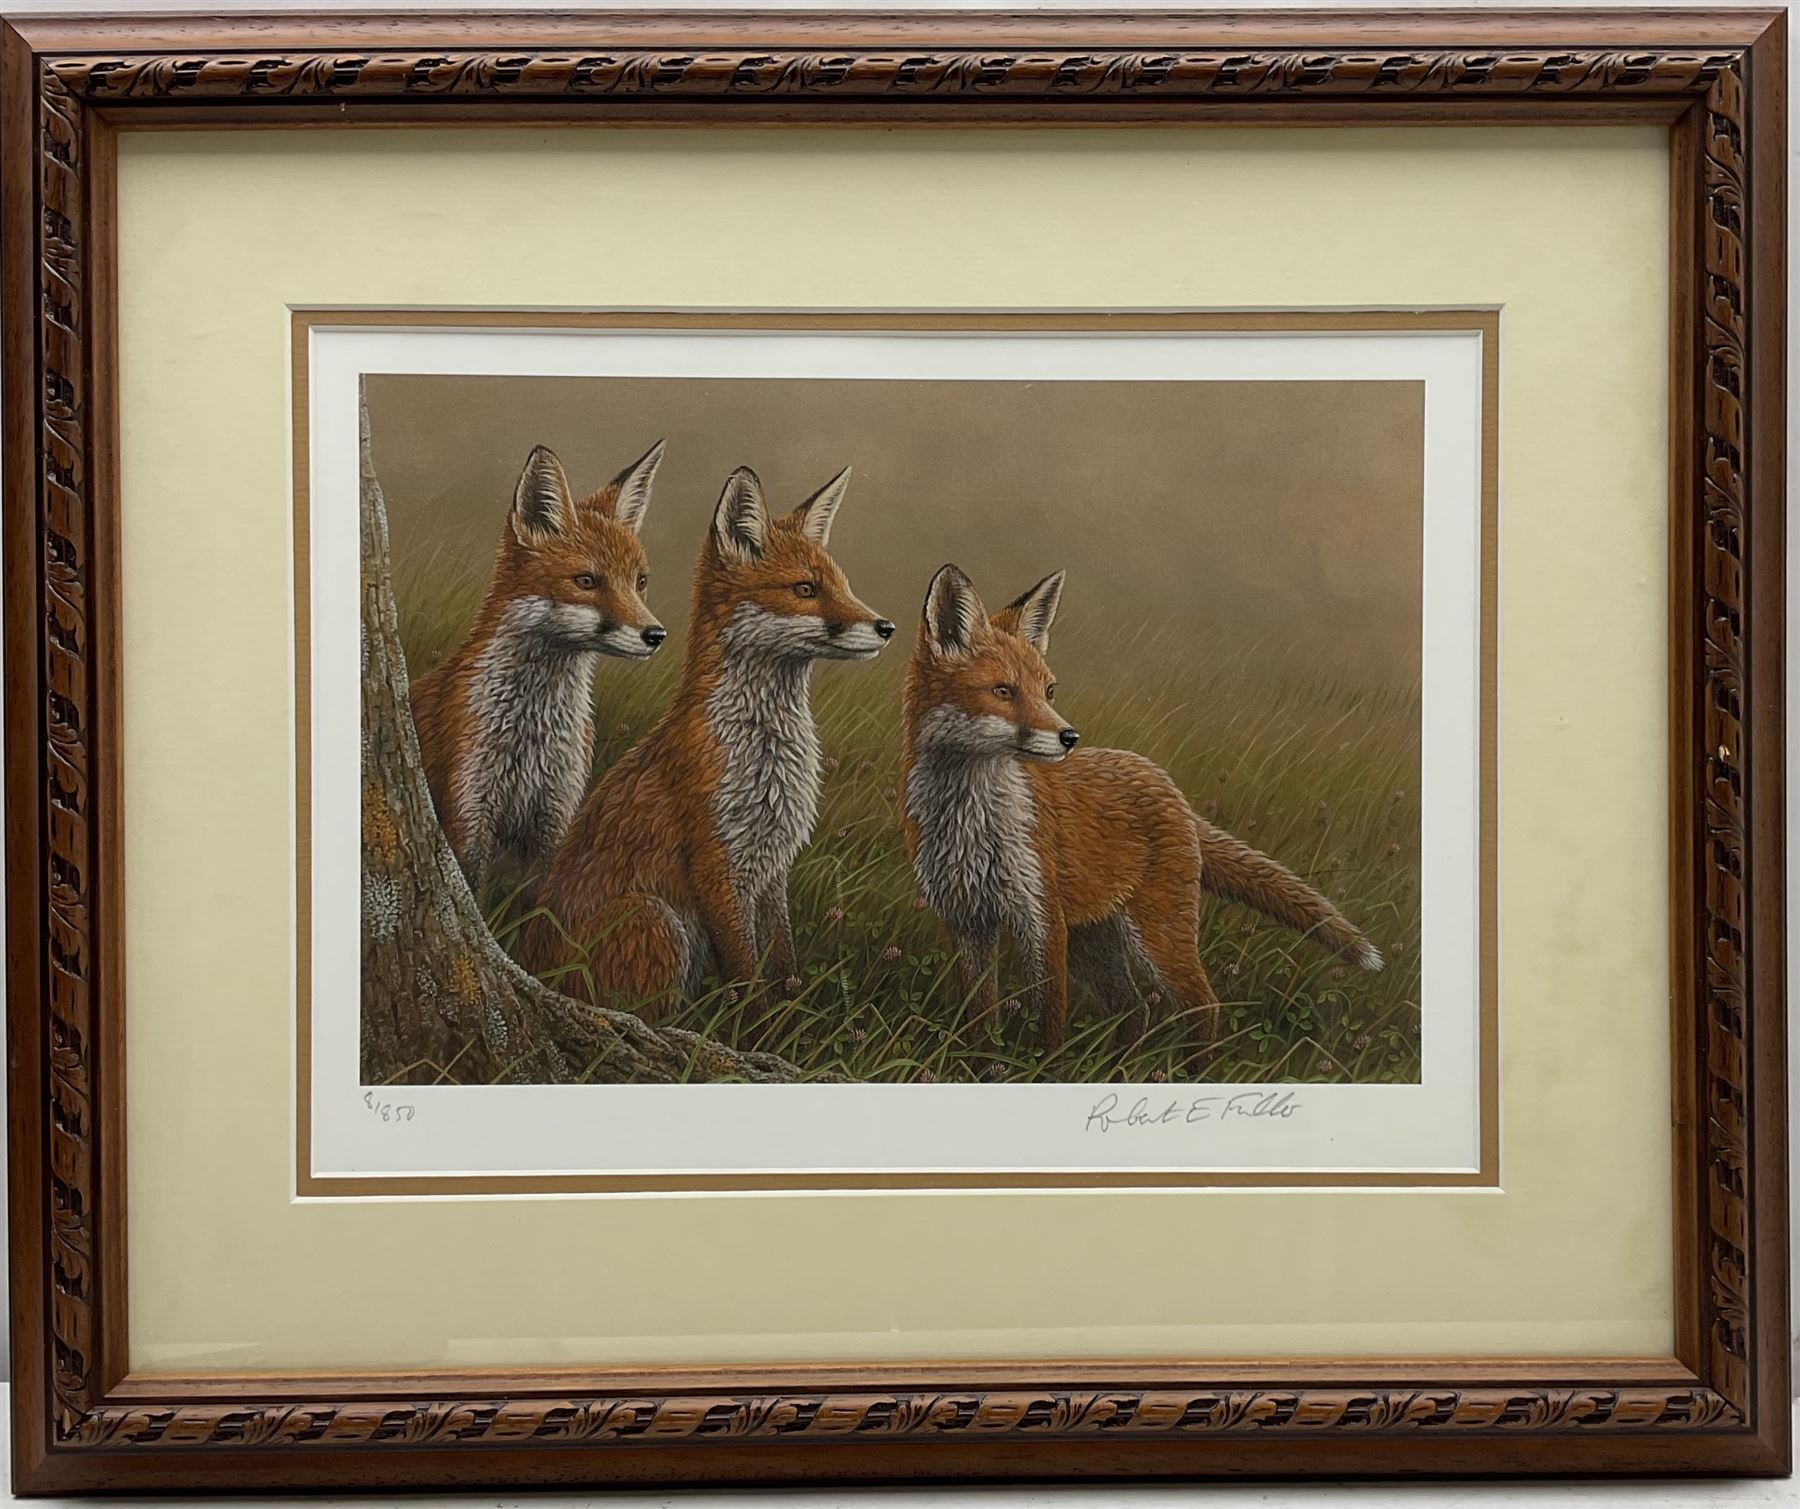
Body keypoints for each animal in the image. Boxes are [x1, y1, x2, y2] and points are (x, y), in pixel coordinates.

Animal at [409, 439, 667, 889]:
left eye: (640, 581)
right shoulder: (469, 812)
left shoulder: (555, 816)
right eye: (586, 581)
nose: (655, 635)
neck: (532, 736)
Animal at [525, 464, 895, 1012]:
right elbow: (746, 979)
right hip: (654, 919)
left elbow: (784, 968)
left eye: (843, 586)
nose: (886, 626)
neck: (765, 753)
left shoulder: (772, 867)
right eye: (805, 589)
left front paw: (787, 1024)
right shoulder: (715, 863)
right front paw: (757, 1032)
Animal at [900, 564, 1383, 1052]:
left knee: (1203, 1005)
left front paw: (1044, 1066)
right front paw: (982, 1063)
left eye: (1048, 691)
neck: (970, 821)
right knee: (1136, 1009)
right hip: (1093, 941)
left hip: (1155, 934)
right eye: (1002, 690)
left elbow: (1050, 1024)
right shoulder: (967, 921)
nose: (1069, 737)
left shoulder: (1041, 919)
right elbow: (980, 1021)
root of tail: (1161, 778)